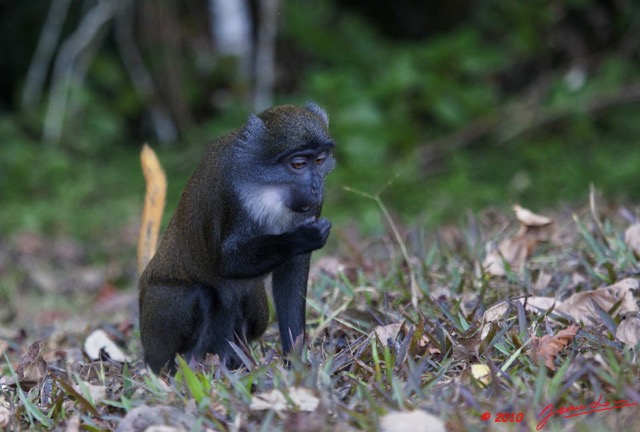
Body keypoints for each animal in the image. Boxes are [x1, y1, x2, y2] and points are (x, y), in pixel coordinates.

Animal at [138, 103, 338, 372]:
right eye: (298, 164)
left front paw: (296, 363)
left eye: (319, 160)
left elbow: (292, 274)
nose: (316, 187)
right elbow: (227, 263)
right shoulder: (229, 192)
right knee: (195, 294)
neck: (267, 187)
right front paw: (299, 238)